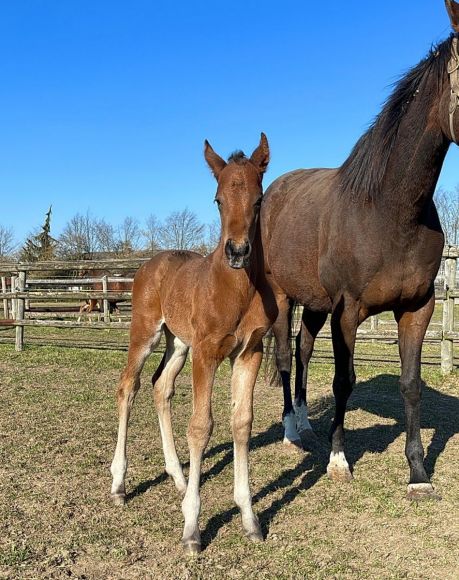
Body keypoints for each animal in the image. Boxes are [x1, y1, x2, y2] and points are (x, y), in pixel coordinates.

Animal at [110, 134, 276, 556]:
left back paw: (180, 478)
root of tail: (149, 264)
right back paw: (119, 484)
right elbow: (201, 426)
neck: (235, 290)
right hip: (147, 333)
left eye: (258, 200)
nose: (237, 252)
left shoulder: (248, 353)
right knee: (129, 386)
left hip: (178, 343)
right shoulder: (207, 353)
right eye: (217, 199)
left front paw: (250, 519)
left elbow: (241, 422)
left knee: (161, 387)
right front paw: (191, 529)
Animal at [260, 0, 459, 500]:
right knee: (285, 356)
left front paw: (419, 474)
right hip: (283, 298)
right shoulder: (347, 312)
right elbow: (344, 380)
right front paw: (338, 461)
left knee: (303, 348)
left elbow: (411, 384)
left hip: (314, 304)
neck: (390, 212)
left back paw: (306, 422)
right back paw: (290, 430)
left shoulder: (417, 308)